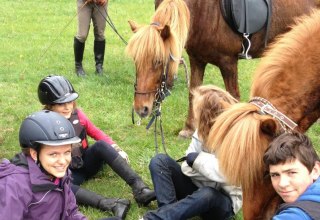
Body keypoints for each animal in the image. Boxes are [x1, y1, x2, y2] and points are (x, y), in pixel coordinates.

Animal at [128, 0, 318, 138]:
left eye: (158, 61)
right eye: (135, 61)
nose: (141, 108)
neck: (204, 11)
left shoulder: (228, 62)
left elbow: (233, 96)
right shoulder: (197, 60)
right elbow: (193, 94)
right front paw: (188, 128)